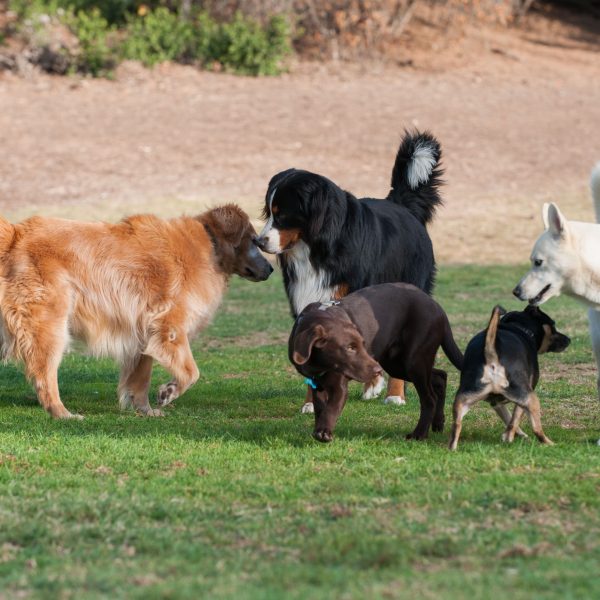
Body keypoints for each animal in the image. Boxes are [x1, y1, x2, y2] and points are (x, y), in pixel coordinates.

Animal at [0, 204, 272, 420]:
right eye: (254, 241)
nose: (271, 269)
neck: (210, 244)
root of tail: (16, 235)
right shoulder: (170, 328)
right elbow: (191, 372)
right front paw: (168, 392)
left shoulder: (144, 332)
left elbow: (140, 378)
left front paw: (145, 410)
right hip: (50, 327)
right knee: (44, 376)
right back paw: (62, 413)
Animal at [255, 130, 442, 412]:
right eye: (269, 211)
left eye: (283, 214)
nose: (258, 241)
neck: (317, 248)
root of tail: (403, 206)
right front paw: (312, 402)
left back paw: (394, 394)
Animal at [450, 304, 572, 450]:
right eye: (553, 324)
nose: (569, 339)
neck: (519, 327)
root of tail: (491, 355)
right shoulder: (525, 395)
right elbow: (515, 419)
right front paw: (510, 437)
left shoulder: (496, 403)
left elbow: (508, 418)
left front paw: (513, 435)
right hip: (531, 397)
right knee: (537, 429)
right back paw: (551, 444)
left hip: (463, 398)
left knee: (456, 426)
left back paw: (452, 448)